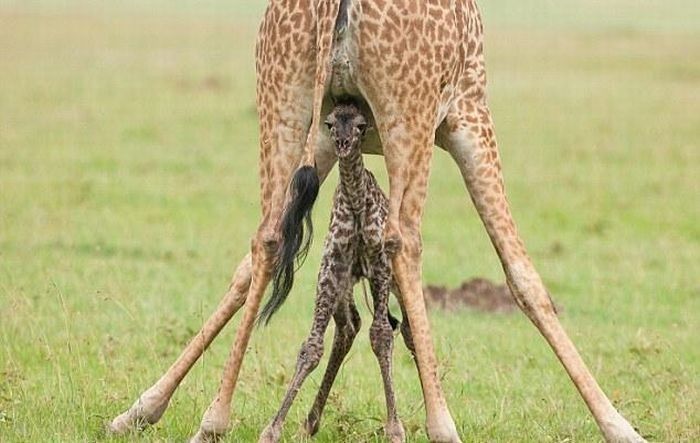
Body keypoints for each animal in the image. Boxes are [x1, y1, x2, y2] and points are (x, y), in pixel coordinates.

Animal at [260, 102, 408, 443]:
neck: (356, 204)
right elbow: (311, 347)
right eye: (329, 123)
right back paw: (311, 420)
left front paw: (395, 428)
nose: (342, 143)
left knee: (405, 330)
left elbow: (382, 336)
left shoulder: (380, 266)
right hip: (344, 285)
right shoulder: (331, 268)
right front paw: (273, 428)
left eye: (361, 125)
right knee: (349, 326)